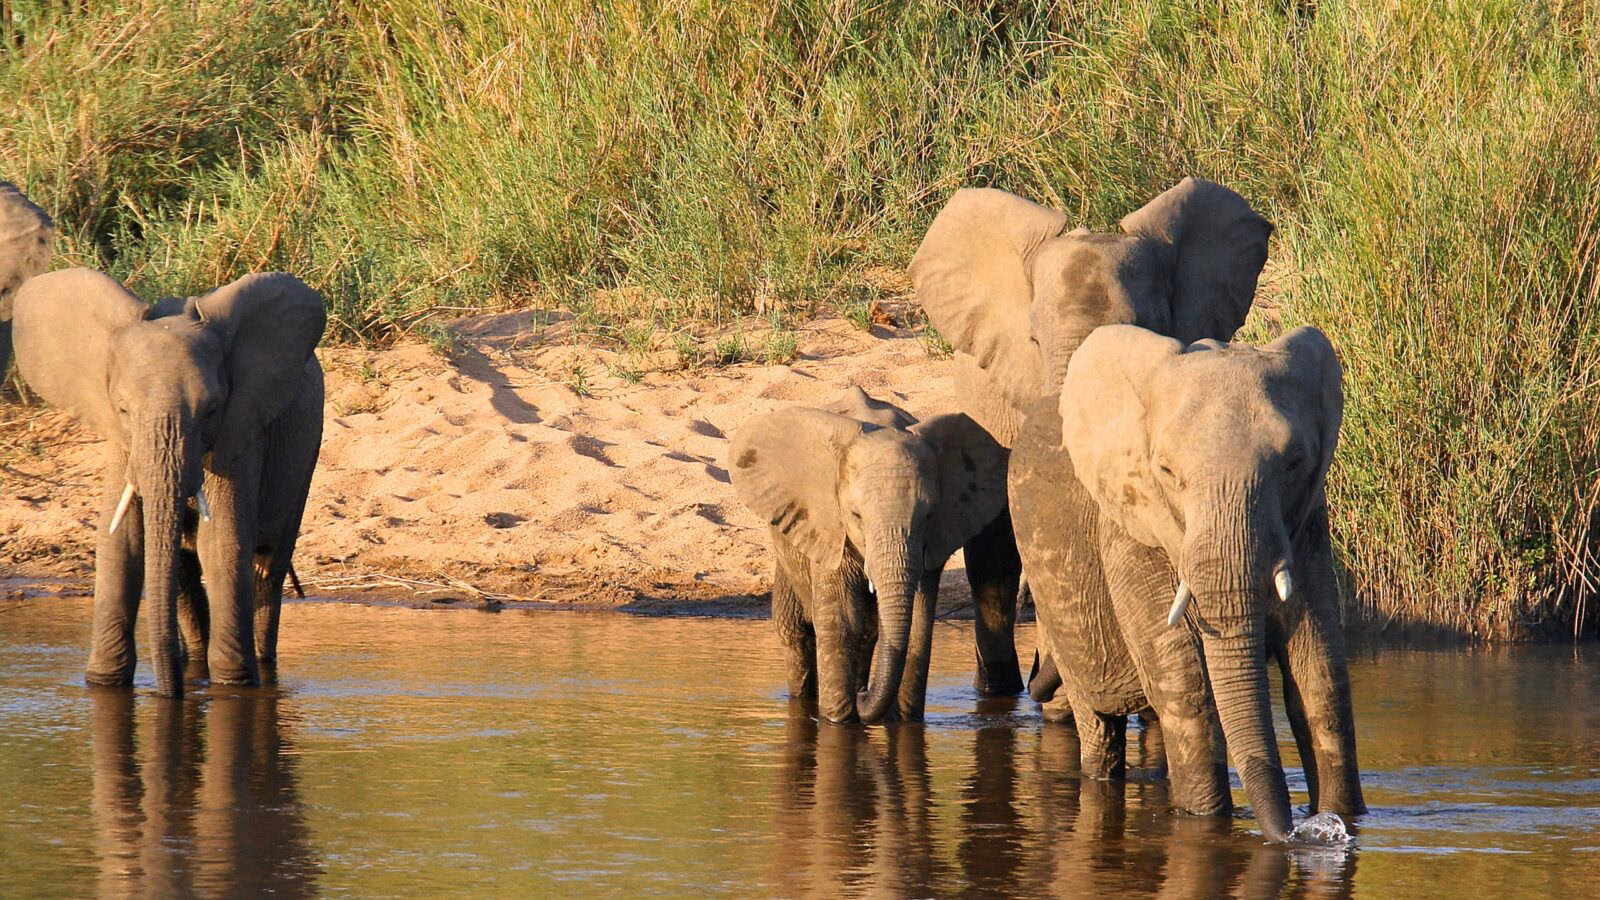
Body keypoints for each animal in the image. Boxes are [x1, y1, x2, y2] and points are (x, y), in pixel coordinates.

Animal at [13, 268, 325, 697]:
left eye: (211, 409)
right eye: (123, 409)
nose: (171, 692)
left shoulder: (241, 430)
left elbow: (223, 540)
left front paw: (232, 684)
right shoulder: (122, 444)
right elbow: (121, 540)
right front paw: (105, 683)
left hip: (305, 452)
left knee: (267, 565)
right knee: (184, 570)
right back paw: (192, 661)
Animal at [729, 391, 1009, 723]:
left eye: (929, 515)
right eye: (856, 516)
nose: (863, 694)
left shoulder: (935, 537)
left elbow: (917, 624)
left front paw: (903, 720)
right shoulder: (830, 527)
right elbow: (842, 620)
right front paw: (838, 721)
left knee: (868, 632)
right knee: (795, 633)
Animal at [1010, 324, 1364, 841]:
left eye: (1294, 463)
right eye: (1167, 472)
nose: (1295, 834)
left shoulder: (1308, 525)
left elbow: (1320, 673)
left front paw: (1343, 817)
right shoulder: (1130, 531)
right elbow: (1186, 688)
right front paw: (1206, 821)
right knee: (1099, 727)